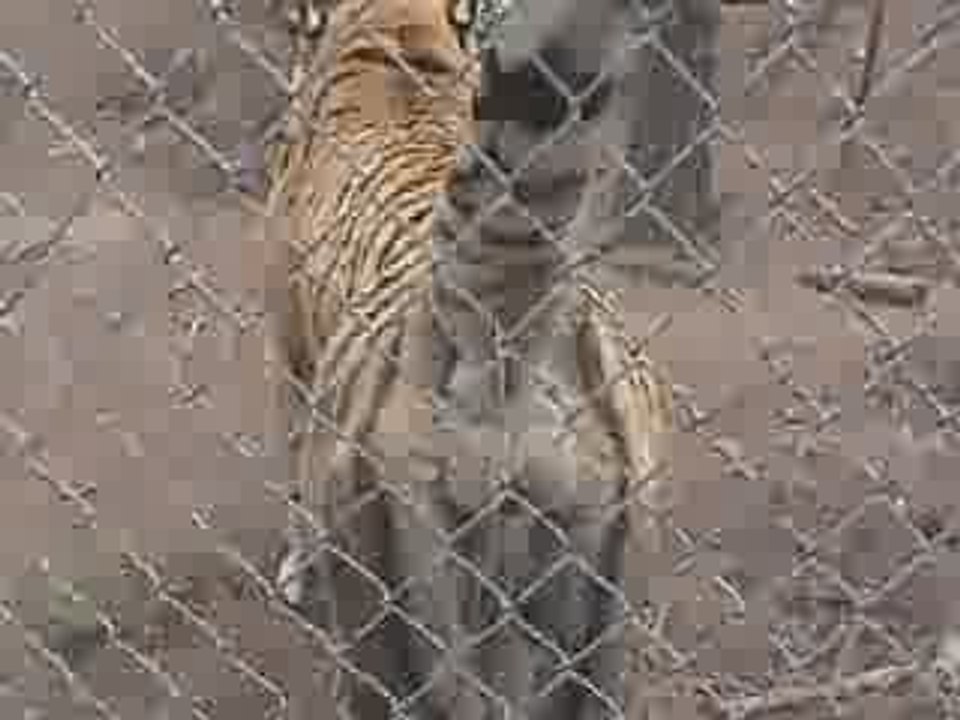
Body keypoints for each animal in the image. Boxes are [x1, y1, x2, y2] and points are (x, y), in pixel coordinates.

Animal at [264, 0, 674, 716]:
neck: (395, 31)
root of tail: (503, 329)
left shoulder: (292, 359)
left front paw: (295, 571)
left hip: (391, 611)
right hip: (603, 624)